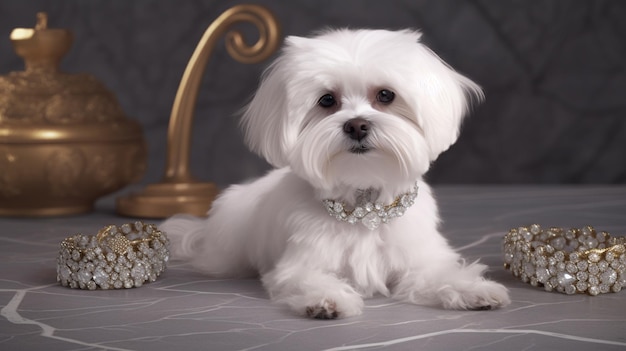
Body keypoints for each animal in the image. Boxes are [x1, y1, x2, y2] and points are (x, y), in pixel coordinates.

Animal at [161, 28, 508, 320]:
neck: (364, 201)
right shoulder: (300, 263)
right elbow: (309, 278)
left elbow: (440, 275)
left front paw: (474, 289)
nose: (356, 125)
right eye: (327, 100)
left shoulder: (420, 258)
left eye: (386, 95)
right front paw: (327, 300)